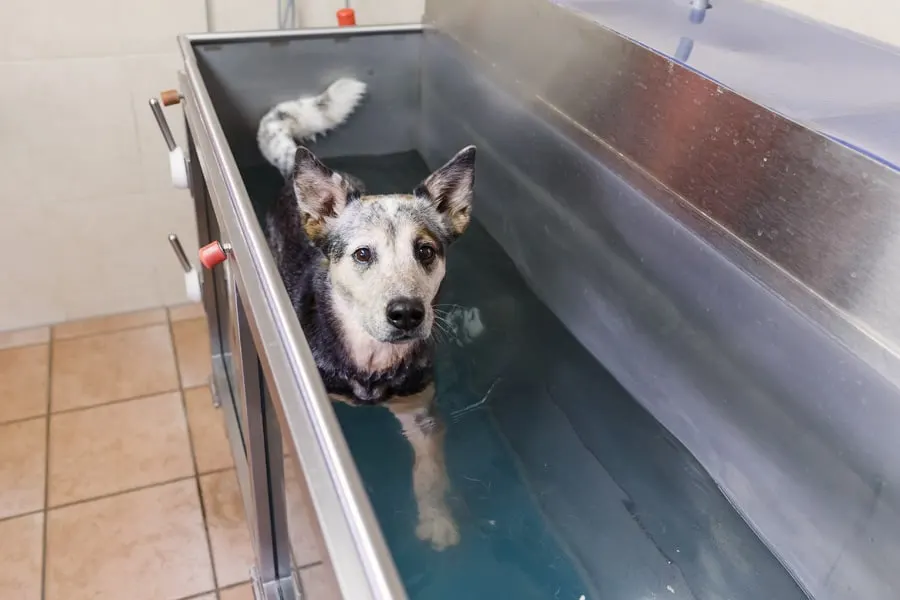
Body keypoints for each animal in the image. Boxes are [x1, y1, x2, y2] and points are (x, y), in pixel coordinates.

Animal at [256, 76, 474, 548]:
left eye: (425, 251)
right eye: (362, 254)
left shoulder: (420, 411)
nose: (407, 313)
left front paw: (436, 520)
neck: (371, 363)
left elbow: (430, 474)